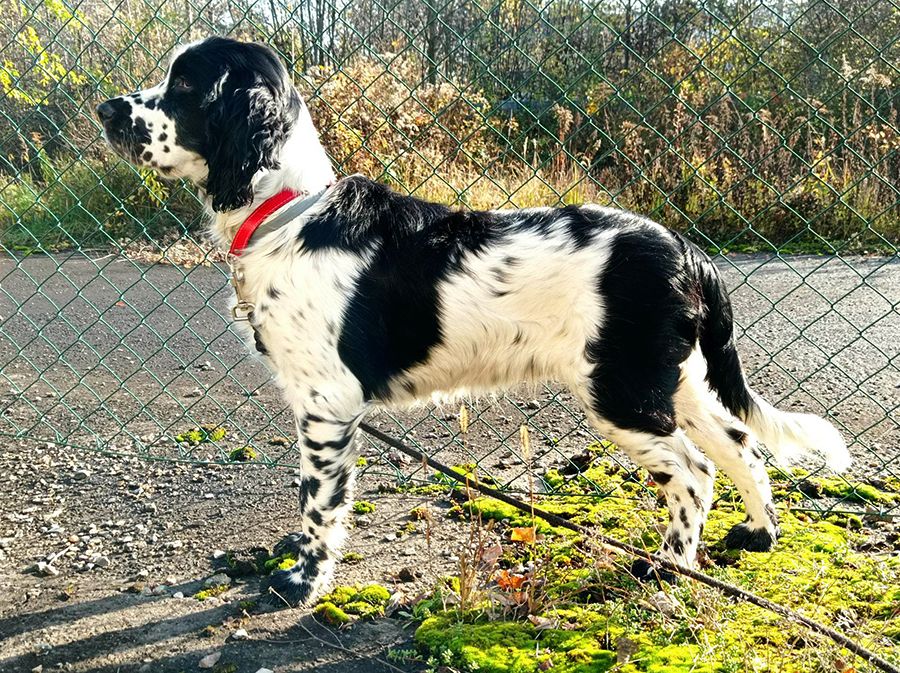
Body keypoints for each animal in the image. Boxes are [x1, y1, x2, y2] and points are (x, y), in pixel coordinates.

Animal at [98, 36, 852, 604]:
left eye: (184, 86)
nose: (106, 109)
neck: (292, 210)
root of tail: (684, 249)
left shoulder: (327, 403)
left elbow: (320, 503)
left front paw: (303, 581)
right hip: (677, 381)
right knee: (741, 447)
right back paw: (758, 536)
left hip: (622, 393)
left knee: (694, 473)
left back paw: (666, 568)